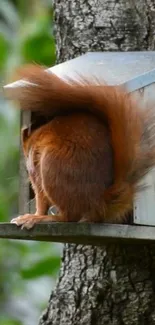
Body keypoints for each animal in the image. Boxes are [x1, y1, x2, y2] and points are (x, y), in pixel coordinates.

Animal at [8, 65, 155, 228]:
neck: (37, 135)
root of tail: (100, 204)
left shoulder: (35, 169)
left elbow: (40, 198)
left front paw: (34, 215)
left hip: (52, 167)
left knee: (70, 216)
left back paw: (46, 218)